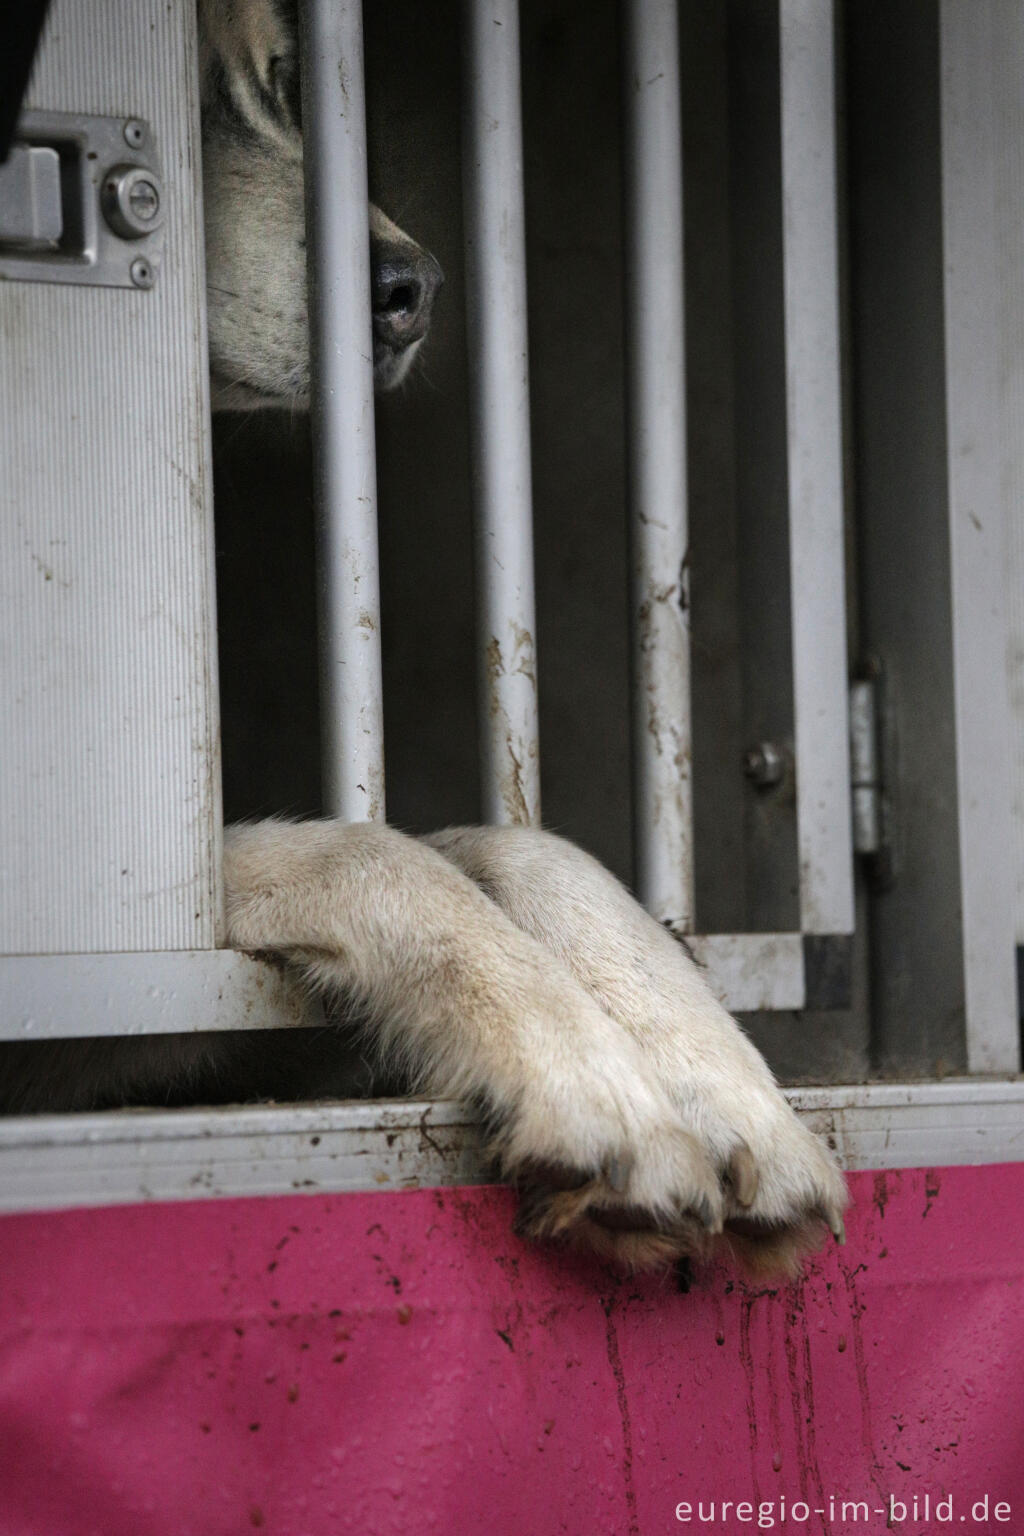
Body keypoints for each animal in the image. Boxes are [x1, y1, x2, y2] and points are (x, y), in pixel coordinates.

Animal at [2, 0, 847, 1277]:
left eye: (288, 86)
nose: (414, 288)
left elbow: (500, 843)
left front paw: (711, 1077)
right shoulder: (106, 952)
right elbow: (362, 851)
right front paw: (591, 1074)